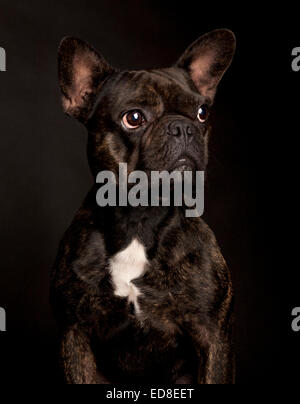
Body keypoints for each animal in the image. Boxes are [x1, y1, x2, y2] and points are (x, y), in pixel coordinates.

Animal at [51, 29, 237, 386]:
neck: (141, 218)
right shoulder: (75, 336)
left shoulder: (213, 339)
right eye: (134, 118)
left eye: (202, 113)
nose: (183, 126)